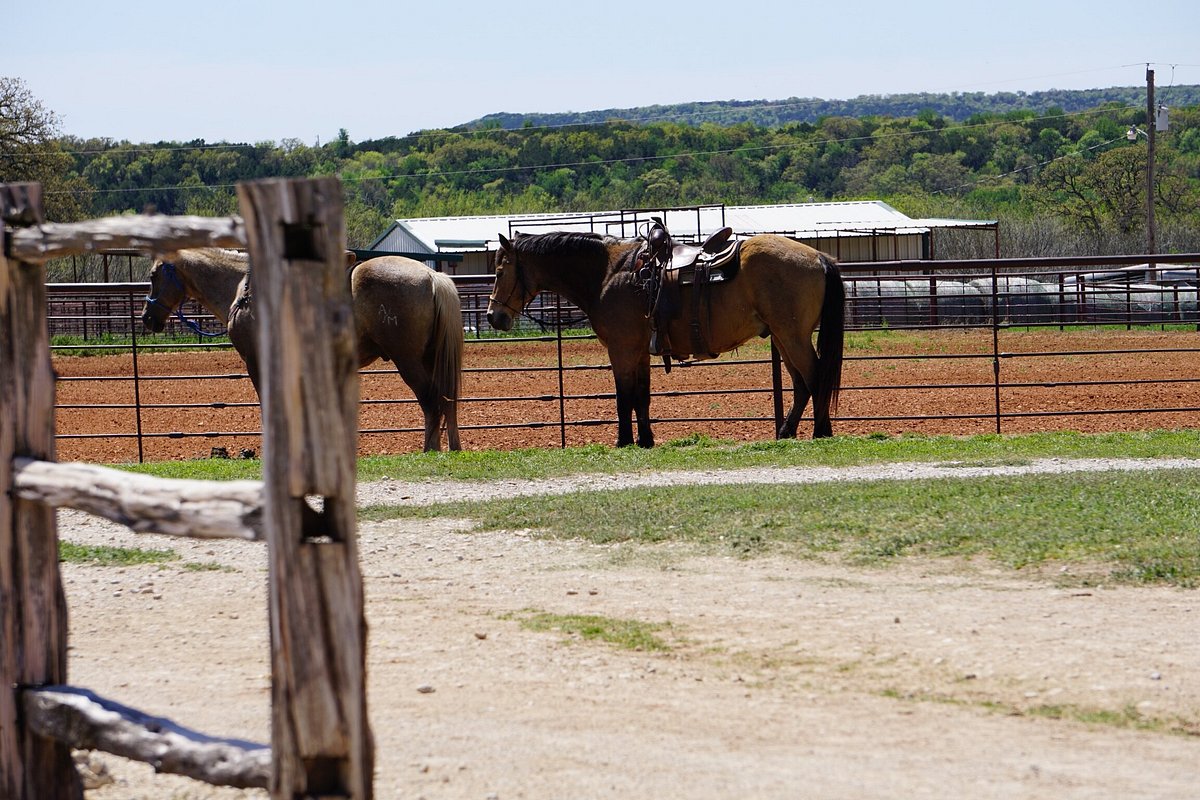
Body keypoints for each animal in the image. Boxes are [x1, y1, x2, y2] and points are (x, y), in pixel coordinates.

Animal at [138, 247, 460, 450]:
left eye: (153, 275)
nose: (147, 318)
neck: (243, 292)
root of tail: (432, 277)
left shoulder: (256, 361)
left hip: (408, 360)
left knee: (430, 399)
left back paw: (429, 448)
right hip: (430, 357)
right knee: (447, 398)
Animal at [484, 230, 844, 450]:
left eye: (500, 271)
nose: (492, 316)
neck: (608, 274)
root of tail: (819, 258)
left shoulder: (622, 350)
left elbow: (623, 397)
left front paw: (623, 441)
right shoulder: (640, 352)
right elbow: (641, 397)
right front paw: (645, 439)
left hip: (792, 337)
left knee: (815, 378)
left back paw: (820, 431)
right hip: (783, 337)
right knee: (801, 384)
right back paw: (786, 433)